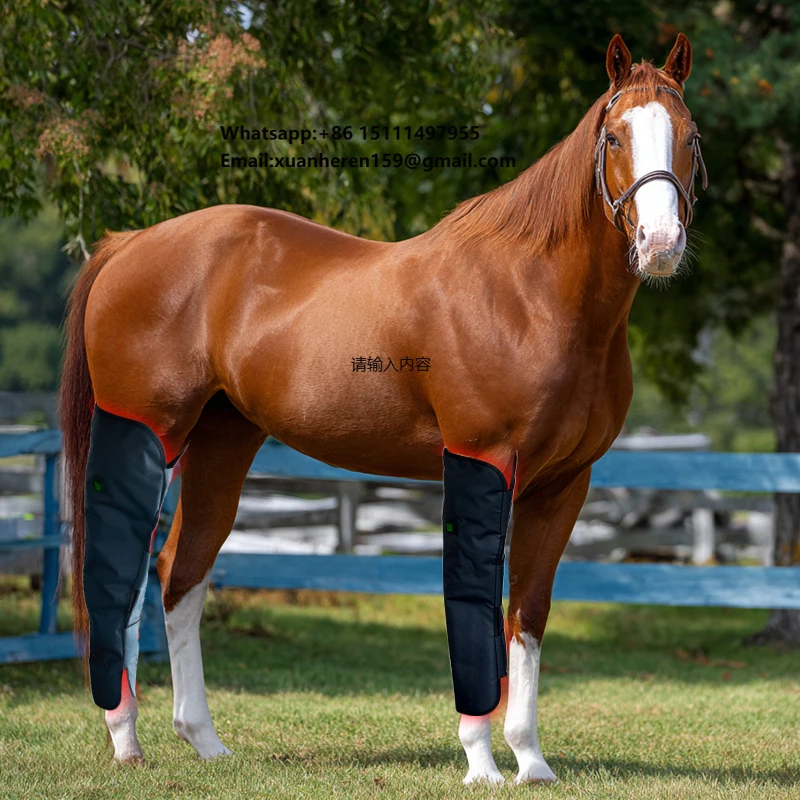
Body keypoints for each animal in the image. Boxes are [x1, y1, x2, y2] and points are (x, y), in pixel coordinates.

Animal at [60, 32, 705, 784]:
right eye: (613, 136)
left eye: (690, 135)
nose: (660, 245)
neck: (531, 296)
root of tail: (128, 244)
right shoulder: (482, 460)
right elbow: (475, 603)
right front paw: (482, 765)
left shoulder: (565, 485)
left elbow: (528, 612)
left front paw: (531, 761)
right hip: (146, 432)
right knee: (120, 572)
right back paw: (125, 740)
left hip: (222, 443)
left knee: (177, 574)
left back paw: (204, 741)